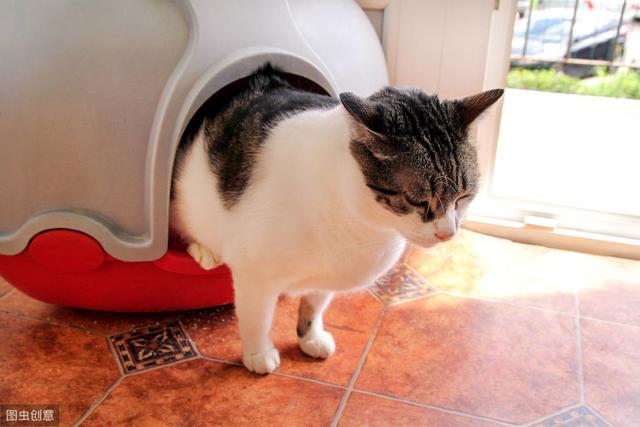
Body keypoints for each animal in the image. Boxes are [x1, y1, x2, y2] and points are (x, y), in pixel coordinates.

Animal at [171, 64, 503, 374]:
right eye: (418, 201)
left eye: (463, 196)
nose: (448, 233)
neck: (361, 223)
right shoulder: (254, 273)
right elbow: (257, 318)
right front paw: (258, 354)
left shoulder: (328, 277)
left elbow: (314, 306)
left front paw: (309, 337)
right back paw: (204, 251)